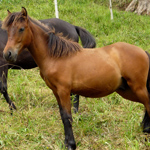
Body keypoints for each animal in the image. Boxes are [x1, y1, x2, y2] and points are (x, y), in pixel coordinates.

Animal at [2, 7, 150, 149]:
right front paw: (66, 143)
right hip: (127, 91)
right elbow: (63, 116)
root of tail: (143, 51)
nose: (8, 54)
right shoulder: (56, 92)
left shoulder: (64, 91)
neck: (55, 57)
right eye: (7, 30)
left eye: (21, 29)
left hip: (137, 88)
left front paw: (71, 145)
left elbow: (67, 117)